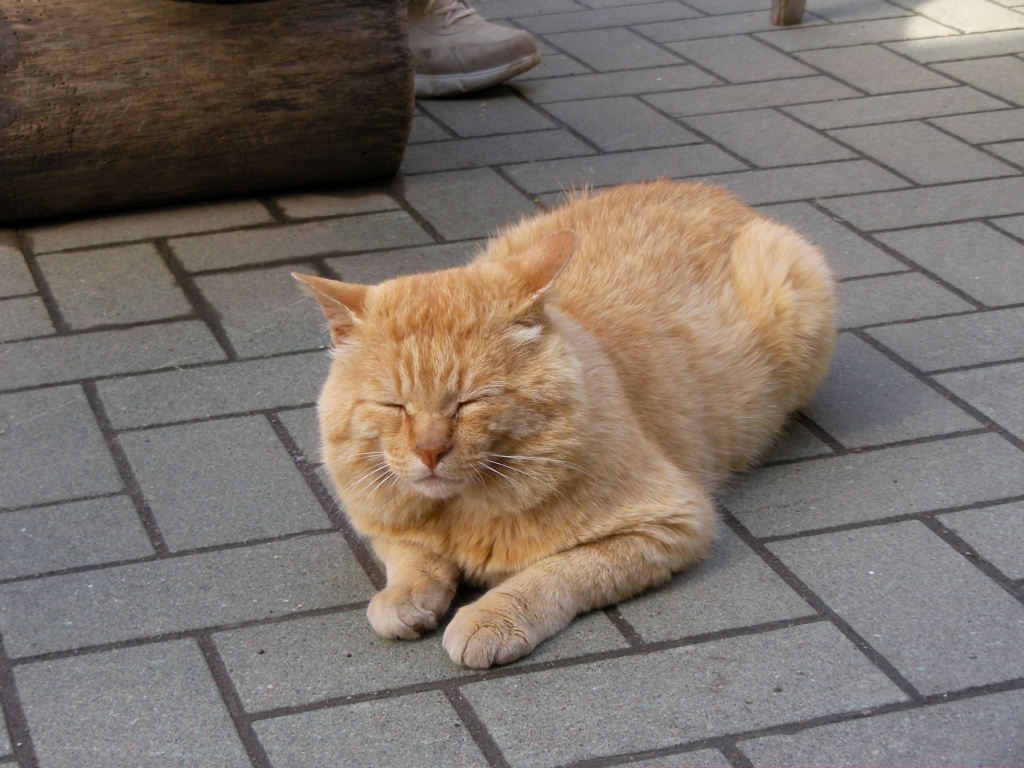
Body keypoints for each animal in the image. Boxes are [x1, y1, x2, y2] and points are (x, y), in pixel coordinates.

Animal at [292, 179, 835, 667]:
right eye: (394, 406)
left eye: (471, 402)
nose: (429, 451)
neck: (459, 515)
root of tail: (719, 194)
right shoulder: (377, 520)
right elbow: (411, 556)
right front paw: (406, 596)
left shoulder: (671, 522)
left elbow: (555, 572)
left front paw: (490, 618)